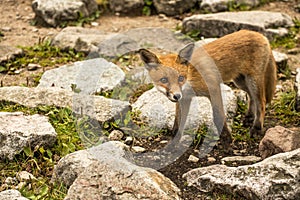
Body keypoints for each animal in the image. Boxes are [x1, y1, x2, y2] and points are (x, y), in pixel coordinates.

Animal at [139, 29, 278, 145]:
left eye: (180, 78)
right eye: (164, 80)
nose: (176, 95)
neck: (191, 78)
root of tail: (259, 34)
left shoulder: (214, 88)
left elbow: (218, 116)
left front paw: (227, 138)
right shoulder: (185, 99)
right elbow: (178, 120)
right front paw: (174, 139)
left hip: (252, 81)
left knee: (261, 101)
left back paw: (257, 127)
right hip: (240, 81)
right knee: (251, 97)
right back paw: (249, 116)